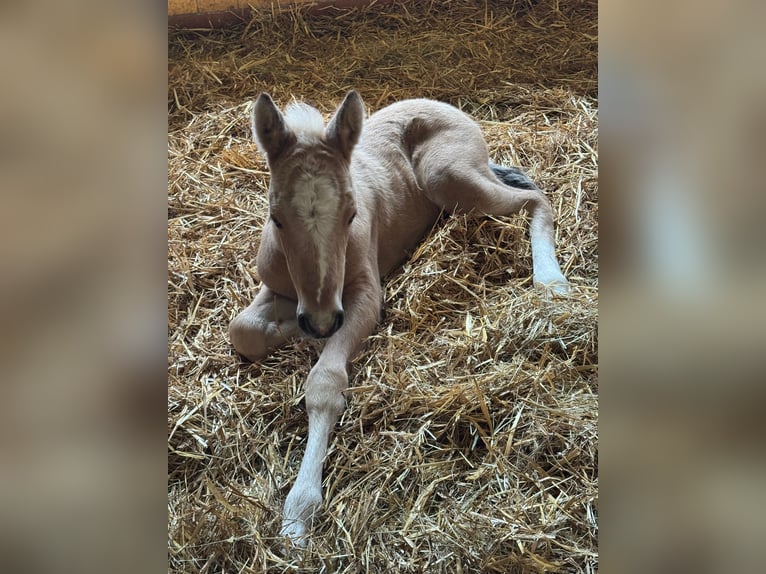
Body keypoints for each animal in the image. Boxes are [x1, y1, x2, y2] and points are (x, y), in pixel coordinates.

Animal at [229, 90, 569, 546]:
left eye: (352, 214)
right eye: (276, 218)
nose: (320, 322)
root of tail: (449, 107)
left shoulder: (366, 299)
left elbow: (325, 383)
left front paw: (299, 512)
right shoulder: (277, 286)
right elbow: (243, 331)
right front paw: (288, 331)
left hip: (446, 174)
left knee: (537, 199)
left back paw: (551, 282)